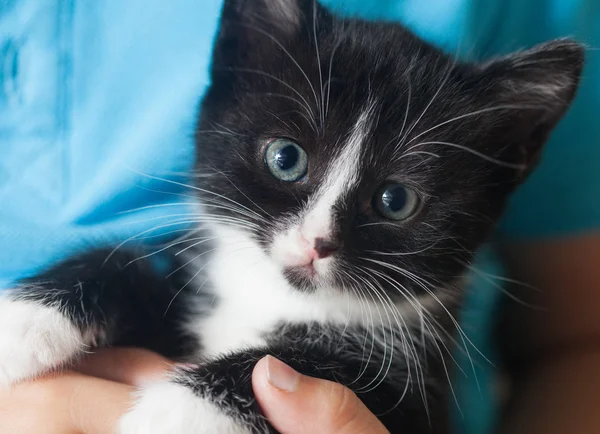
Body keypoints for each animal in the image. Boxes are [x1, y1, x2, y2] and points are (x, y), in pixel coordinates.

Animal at [0, 0, 580, 434]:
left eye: (396, 200)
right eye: (285, 158)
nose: (315, 242)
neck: (272, 298)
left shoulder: (418, 403)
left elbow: (316, 366)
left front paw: (181, 410)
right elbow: (128, 261)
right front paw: (24, 321)